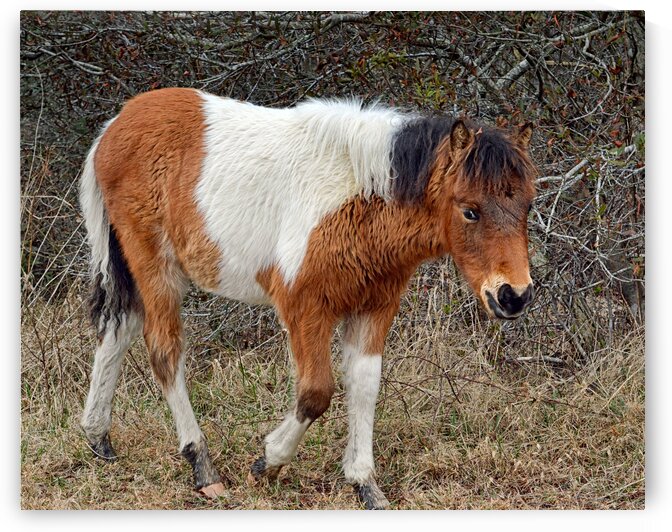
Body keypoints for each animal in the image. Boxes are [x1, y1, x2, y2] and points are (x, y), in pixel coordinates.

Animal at [79, 87, 537, 509]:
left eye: (528, 206)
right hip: (157, 268)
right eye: (470, 210)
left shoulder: (374, 308)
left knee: (118, 328)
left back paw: (97, 435)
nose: (513, 295)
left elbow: (364, 386)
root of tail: (115, 126)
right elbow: (316, 393)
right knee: (164, 351)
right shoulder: (305, 308)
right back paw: (202, 466)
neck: (360, 198)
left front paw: (365, 485)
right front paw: (268, 462)